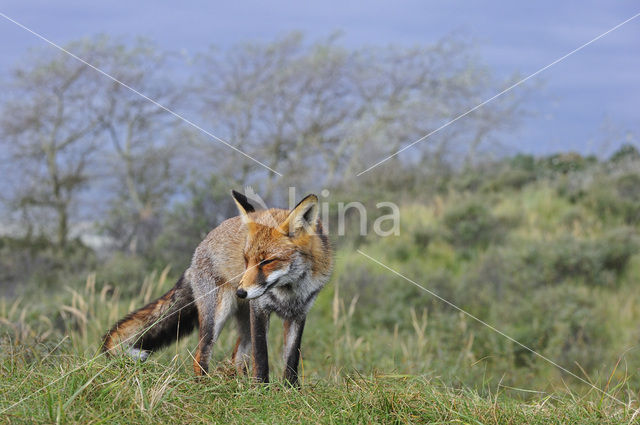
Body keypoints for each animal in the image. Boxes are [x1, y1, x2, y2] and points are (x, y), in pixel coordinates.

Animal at [102, 190, 332, 386]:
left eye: (267, 261)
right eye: (246, 260)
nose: (241, 292)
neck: (289, 290)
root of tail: (200, 248)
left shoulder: (298, 314)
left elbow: (292, 359)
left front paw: (290, 390)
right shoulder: (259, 309)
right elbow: (261, 357)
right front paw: (262, 390)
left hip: (244, 323)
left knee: (237, 357)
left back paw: (238, 385)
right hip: (217, 314)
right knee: (200, 356)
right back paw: (205, 386)